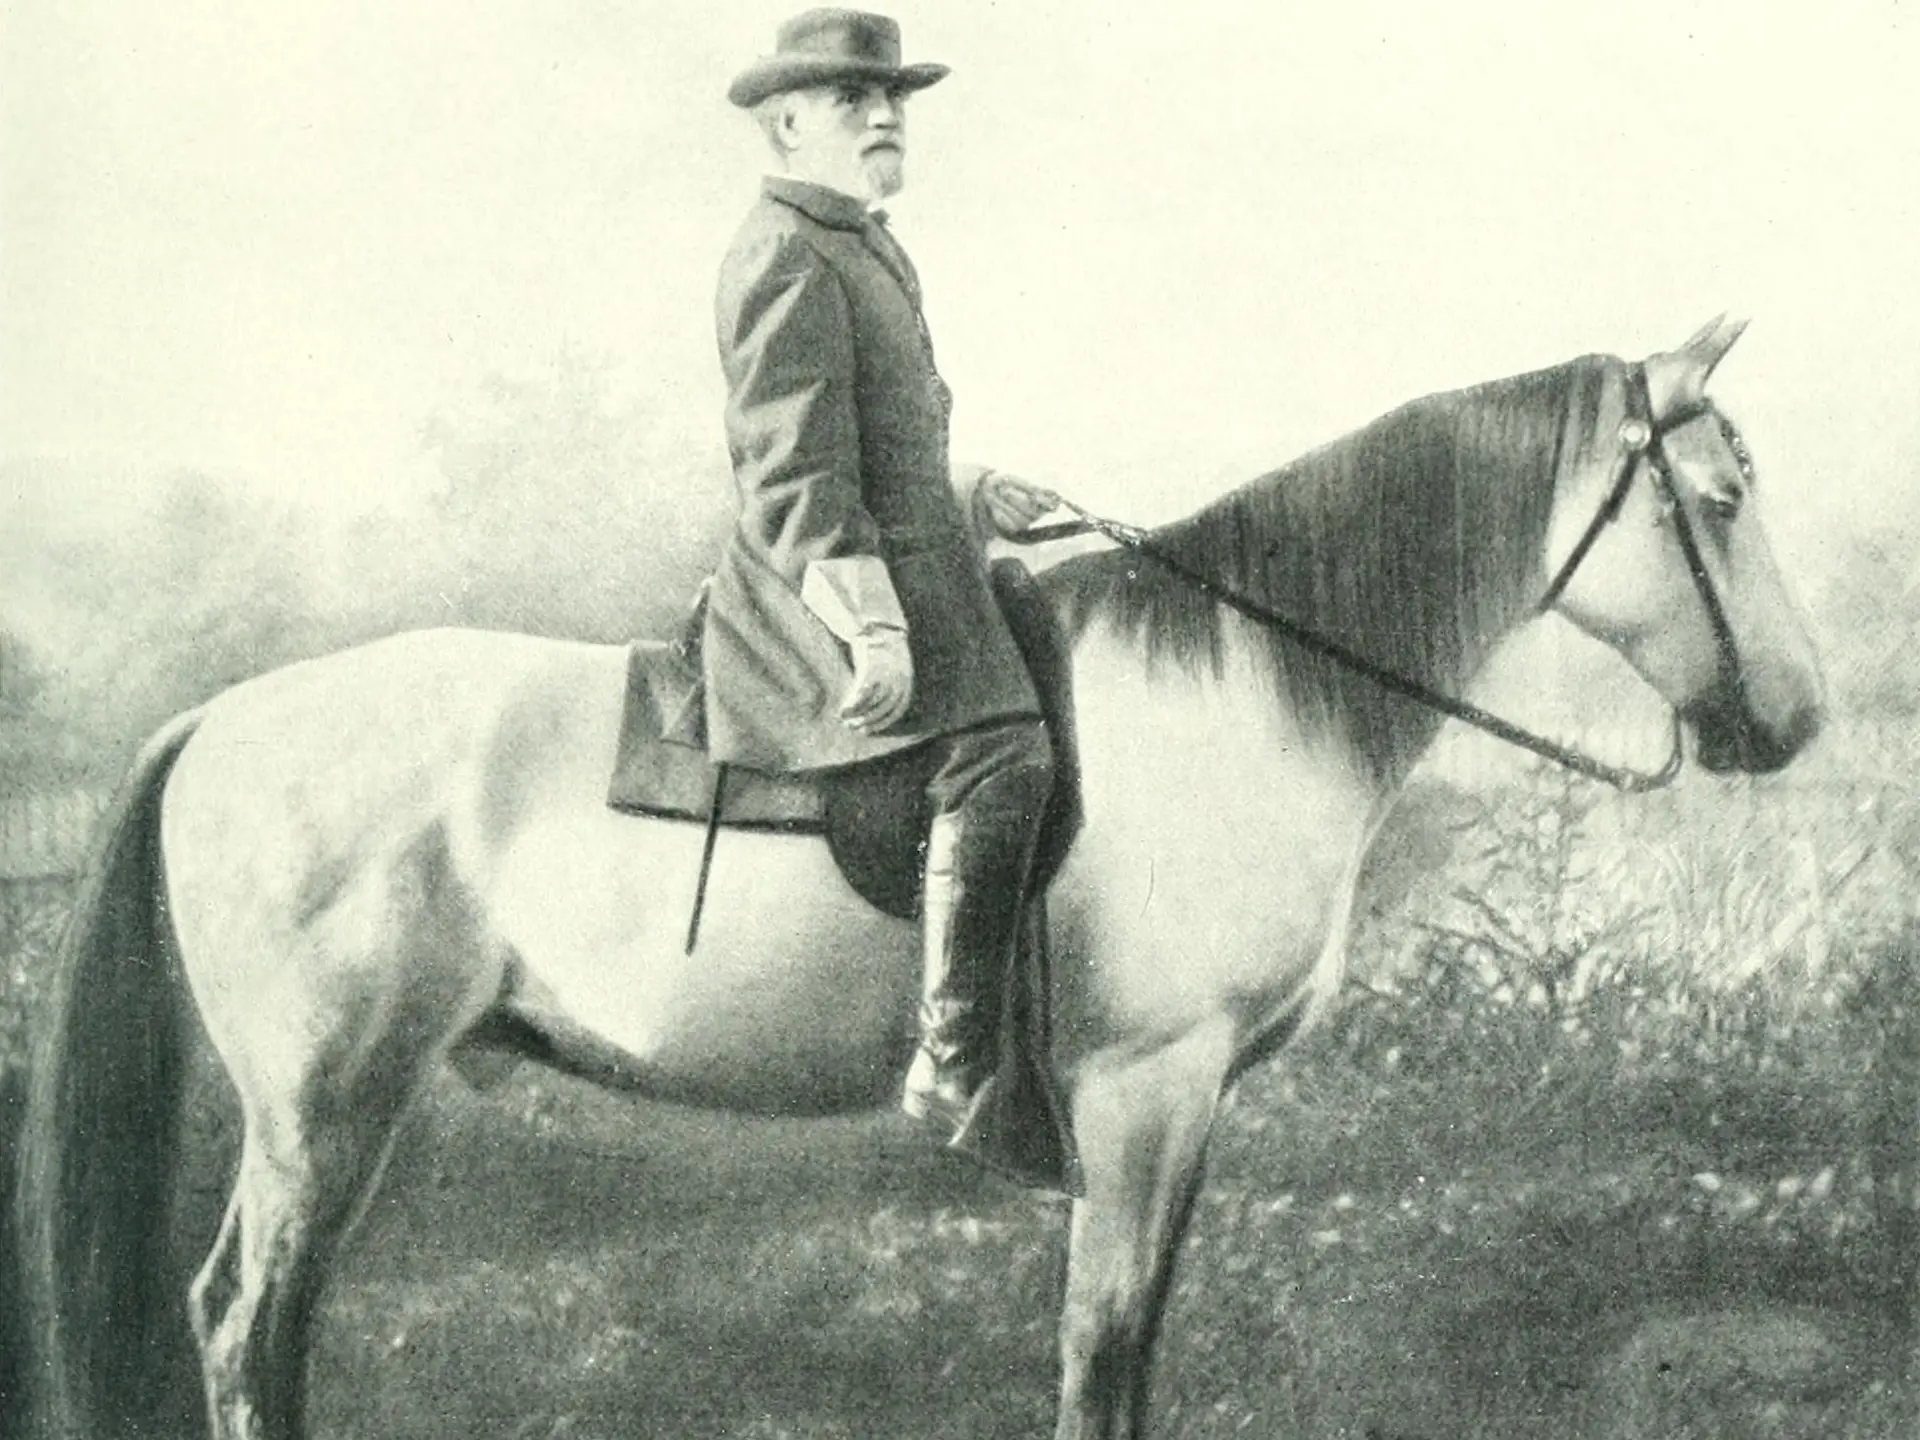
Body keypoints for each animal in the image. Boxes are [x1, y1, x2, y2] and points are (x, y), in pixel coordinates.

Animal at [15, 316, 1824, 1440]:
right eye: (1722, 496)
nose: (1795, 720)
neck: (1243, 687)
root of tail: (223, 718)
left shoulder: (1179, 1110)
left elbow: (1131, 1348)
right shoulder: (1145, 1092)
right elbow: (1102, 1350)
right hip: (325, 1106)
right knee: (247, 1321)